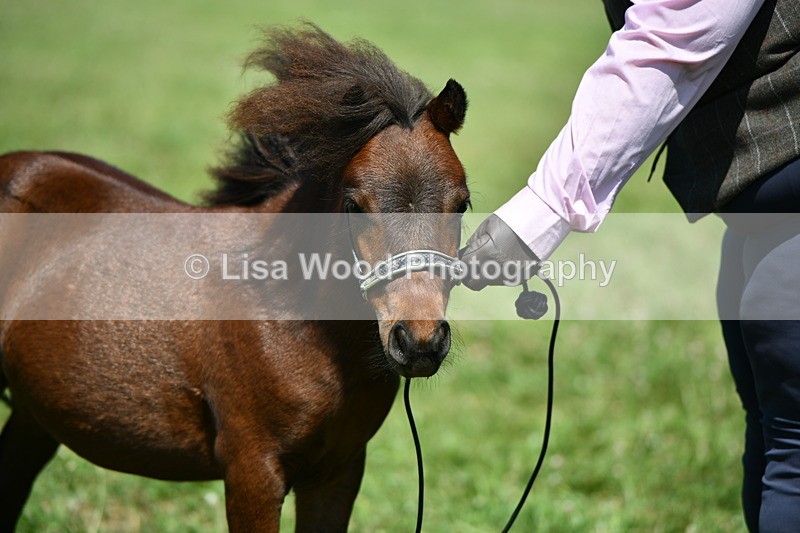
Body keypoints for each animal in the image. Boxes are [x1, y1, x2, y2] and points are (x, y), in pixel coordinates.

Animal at [0, 24, 469, 531]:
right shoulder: (252, 468)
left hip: (31, 416)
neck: (289, 310)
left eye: (462, 203)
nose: (419, 342)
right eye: (353, 204)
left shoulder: (338, 470)